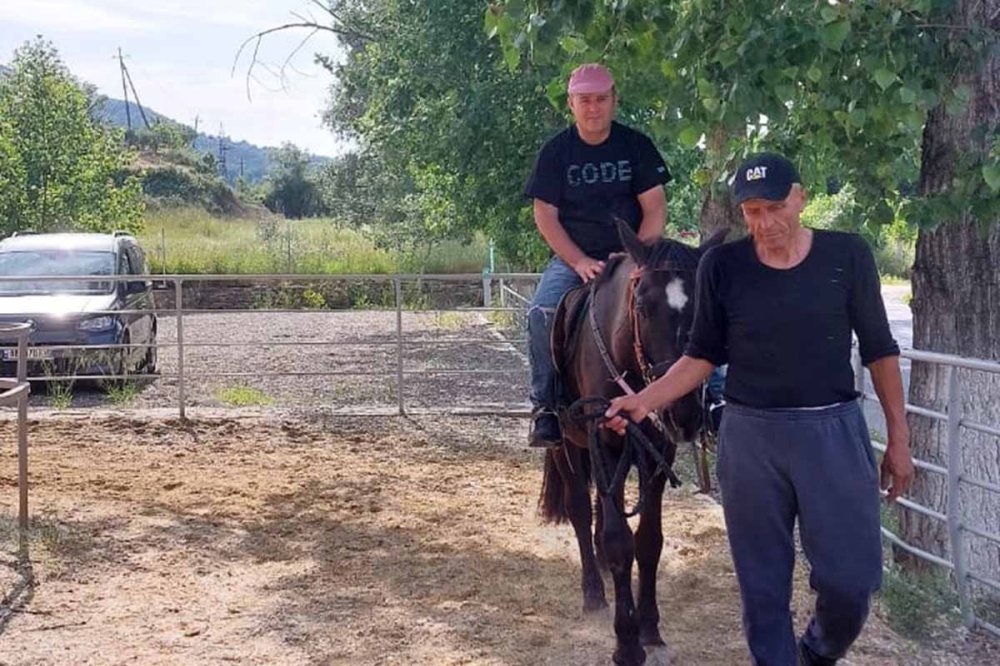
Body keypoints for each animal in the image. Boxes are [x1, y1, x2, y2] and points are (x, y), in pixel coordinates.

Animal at [544, 224, 724, 664]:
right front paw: (626, 642)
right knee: (579, 508)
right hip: (567, 445)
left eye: (701, 307)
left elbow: (648, 540)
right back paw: (593, 591)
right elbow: (618, 542)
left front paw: (651, 629)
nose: (684, 413)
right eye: (642, 306)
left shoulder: (658, 454)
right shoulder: (604, 445)